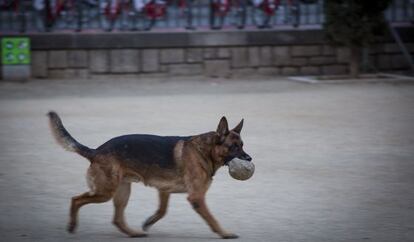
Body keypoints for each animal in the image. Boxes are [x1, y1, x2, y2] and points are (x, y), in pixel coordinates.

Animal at [47, 111, 251, 238]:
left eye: (242, 145)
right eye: (233, 147)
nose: (249, 158)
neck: (206, 150)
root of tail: (95, 151)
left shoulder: (164, 190)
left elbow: (162, 211)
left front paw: (148, 222)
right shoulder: (196, 197)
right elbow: (212, 219)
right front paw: (224, 233)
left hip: (122, 192)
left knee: (117, 219)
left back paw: (133, 233)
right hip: (105, 192)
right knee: (76, 200)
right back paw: (72, 225)